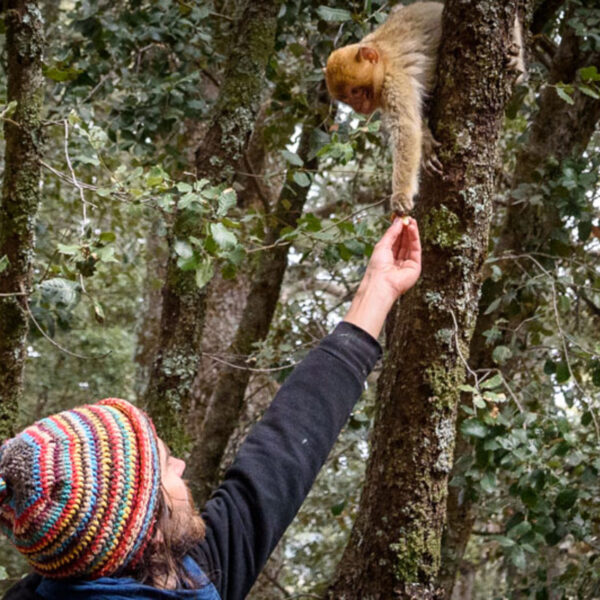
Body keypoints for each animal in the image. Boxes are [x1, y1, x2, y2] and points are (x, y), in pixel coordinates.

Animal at [324, 0, 524, 216]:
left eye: (355, 91)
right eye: (346, 98)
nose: (358, 107)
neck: (383, 60)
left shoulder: (394, 81)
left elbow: (405, 128)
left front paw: (401, 195)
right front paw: (426, 141)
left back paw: (516, 60)